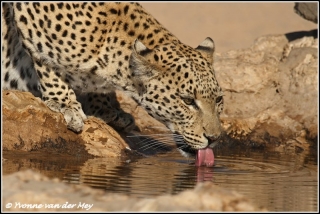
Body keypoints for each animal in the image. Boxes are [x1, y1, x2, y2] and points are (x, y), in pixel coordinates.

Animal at [1, 2, 224, 160]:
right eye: (187, 101)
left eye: (219, 100)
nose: (214, 139)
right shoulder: (30, 17)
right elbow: (44, 61)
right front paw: (65, 104)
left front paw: (106, 110)